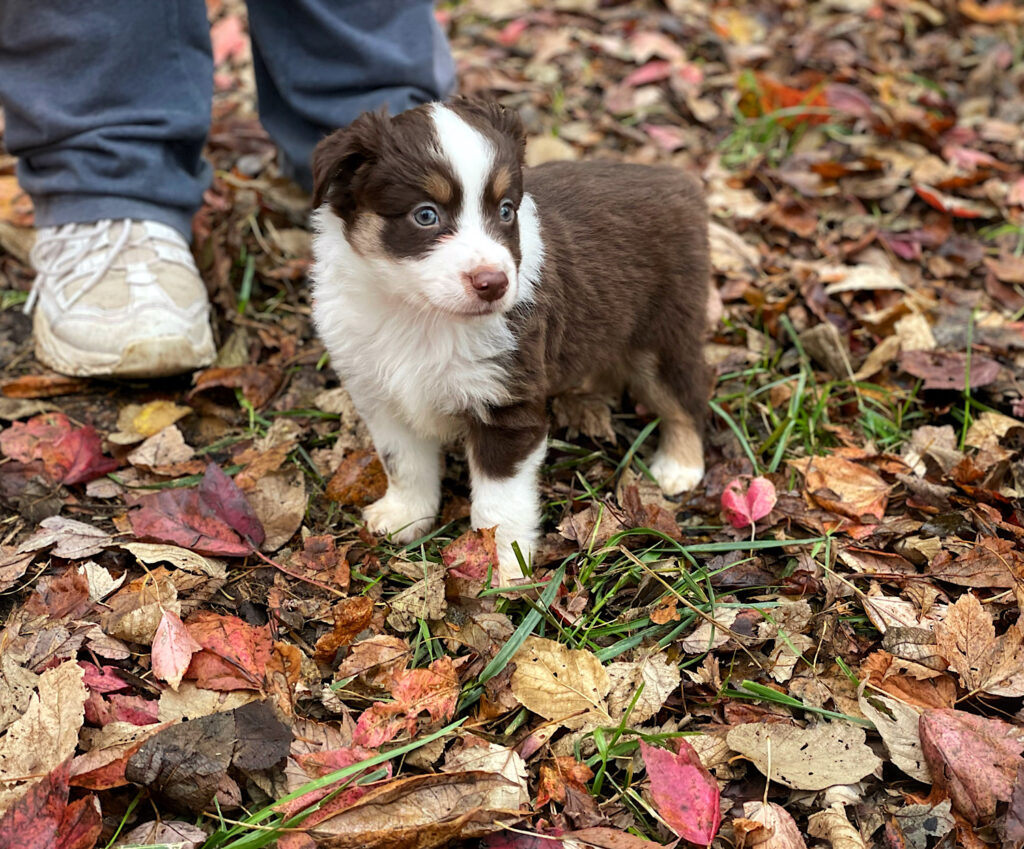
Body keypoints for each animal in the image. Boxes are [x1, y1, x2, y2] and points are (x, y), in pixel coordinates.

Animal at [311, 96, 708, 581]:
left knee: (686, 396)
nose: (494, 283)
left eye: (505, 210)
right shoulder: (380, 395)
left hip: (664, 330)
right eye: (426, 215)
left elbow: (500, 502)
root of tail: (675, 179)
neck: (418, 315)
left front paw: (502, 570)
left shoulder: (506, 403)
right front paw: (405, 515)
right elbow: (404, 462)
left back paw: (679, 466)